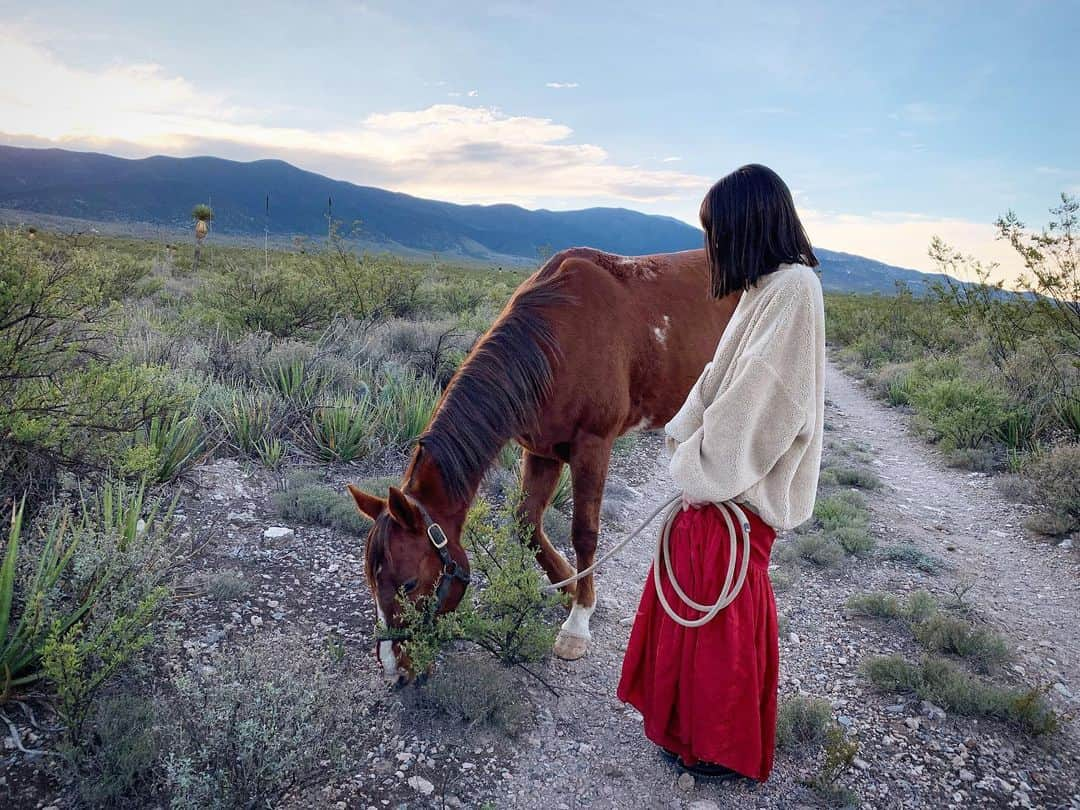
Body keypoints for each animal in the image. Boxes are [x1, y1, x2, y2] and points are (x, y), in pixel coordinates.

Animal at [349, 246, 738, 678]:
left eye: (408, 583)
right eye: (371, 581)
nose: (393, 666)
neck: (558, 338)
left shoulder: (592, 445)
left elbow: (584, 532)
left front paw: (577, 621)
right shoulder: (541, 451)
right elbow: (527, 524)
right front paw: (569, 586)